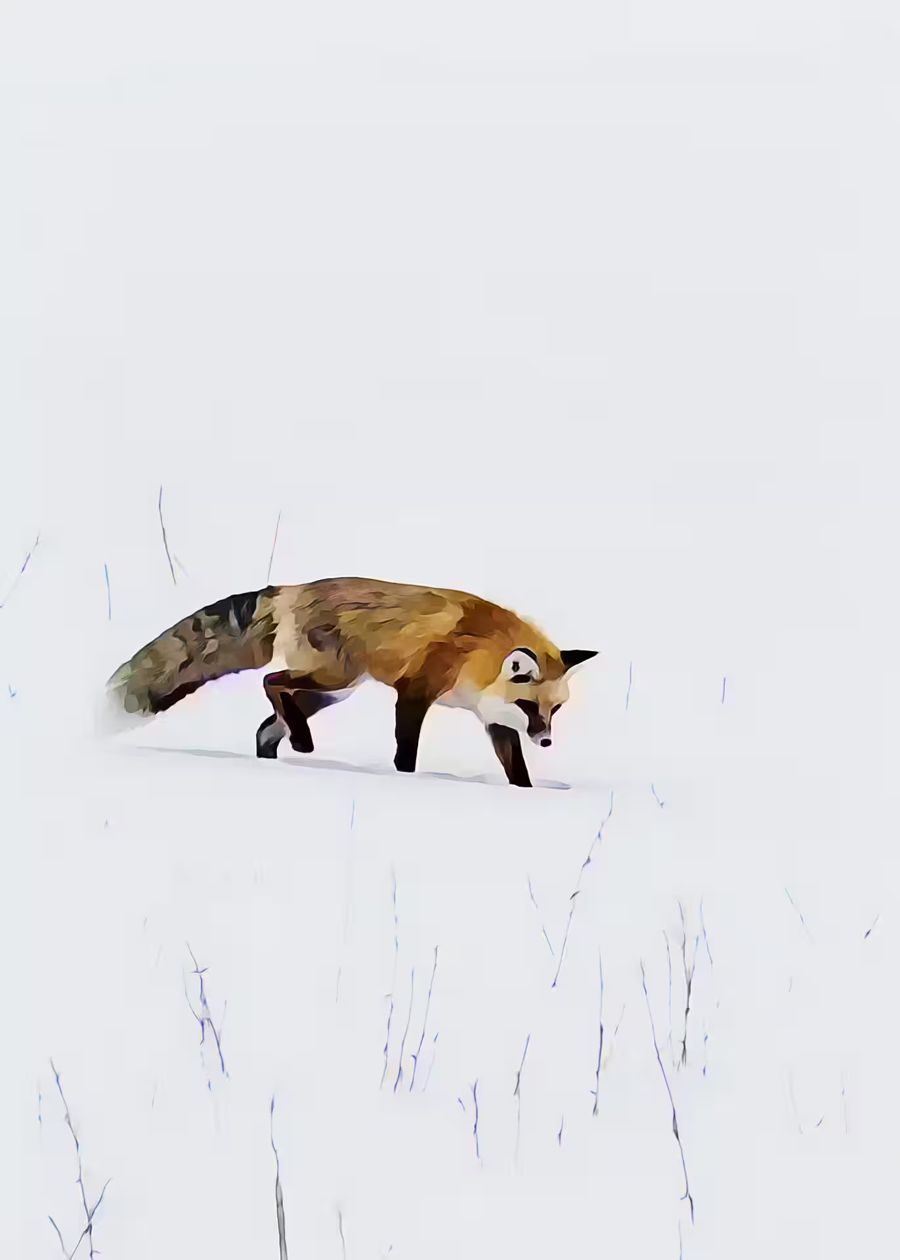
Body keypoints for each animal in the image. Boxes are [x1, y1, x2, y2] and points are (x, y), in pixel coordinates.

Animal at [104, 577, 597, 787]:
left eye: (555, 710)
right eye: (531, 707)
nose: (546, 740)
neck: (478, 658)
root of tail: (292, 588)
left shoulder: (494, 719)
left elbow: (517, 771)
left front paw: (524, 795)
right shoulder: (415, 692)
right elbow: (405, 752)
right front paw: (406, 782)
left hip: (334, 690)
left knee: (267, 725)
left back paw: (281, 755)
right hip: (333, 677)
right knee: (271, 680)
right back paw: (301, 744)